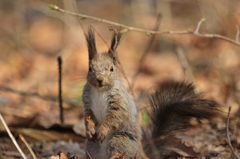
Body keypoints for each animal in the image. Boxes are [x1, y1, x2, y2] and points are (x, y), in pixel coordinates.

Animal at [81, 27, 218, 159]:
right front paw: (89, 129)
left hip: (119, 141)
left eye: (111, 69)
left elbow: (116, 117)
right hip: (91, 145)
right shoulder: (87, 101)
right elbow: (88, 116)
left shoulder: (120, 101)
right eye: (90, 68)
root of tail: (140, 153)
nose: (99, 80)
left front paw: (103, 130)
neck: (100, 91)